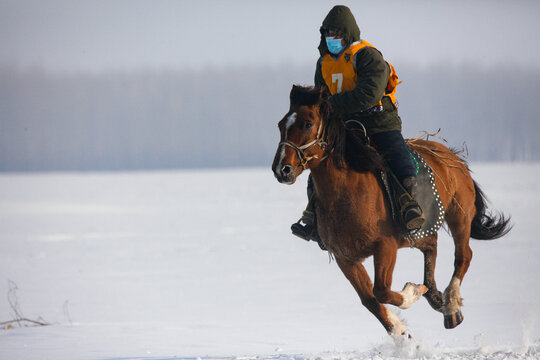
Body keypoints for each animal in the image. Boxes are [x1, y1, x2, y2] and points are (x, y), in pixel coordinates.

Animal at [272, 85, 512, 338]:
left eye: (308, 124)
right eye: (281, 124)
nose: (282, 169)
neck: (347, 193)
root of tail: (452, 155)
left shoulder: (385, 246)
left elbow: (382, 291)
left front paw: (412, 292)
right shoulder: (345, 257)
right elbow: (370, 299)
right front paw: (402, 333)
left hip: (459, 215)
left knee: (463, 256)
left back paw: (451, 307)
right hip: (419, 233)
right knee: (432, 247)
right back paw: (435, 297)